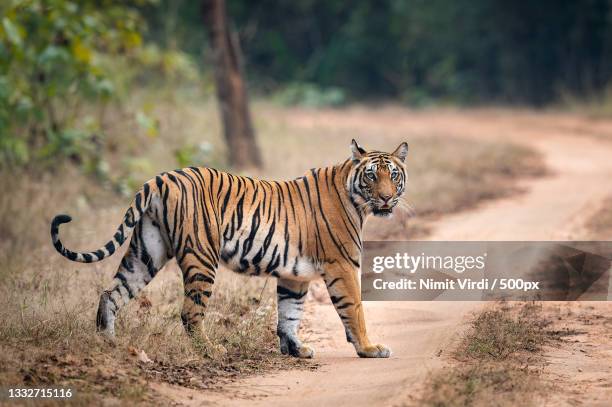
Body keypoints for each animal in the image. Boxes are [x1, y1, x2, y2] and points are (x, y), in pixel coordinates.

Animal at [51, 139, 406, 356]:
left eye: (393, 176)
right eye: (371, 176)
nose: (387, 198)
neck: (355, 198)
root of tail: (161, 178)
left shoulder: (295, 275)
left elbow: (289, 313)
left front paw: (296, 350)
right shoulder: (342, 264)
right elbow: (355, 308)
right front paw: (369, 349)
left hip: (145, 252)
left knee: (111, 293)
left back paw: (109, 343)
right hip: (201, 258)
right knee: (190, 313)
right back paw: (210, 350)